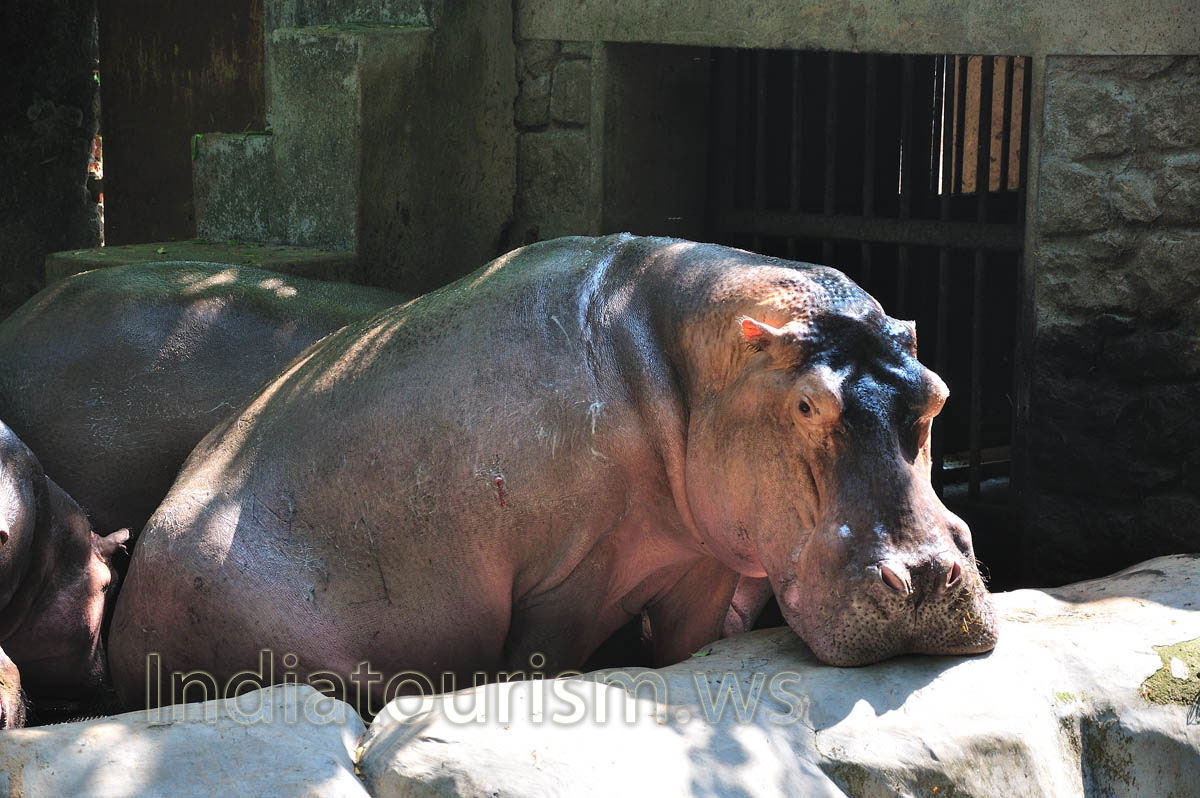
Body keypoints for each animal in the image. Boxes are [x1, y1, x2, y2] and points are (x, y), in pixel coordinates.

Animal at [110, 235, 998, 712]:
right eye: (809, 404)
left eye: (939, 391)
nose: (926, 577)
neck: (692, 362)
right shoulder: (570, 576)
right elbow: (540, 662)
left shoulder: (704, 562)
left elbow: (686, 648)